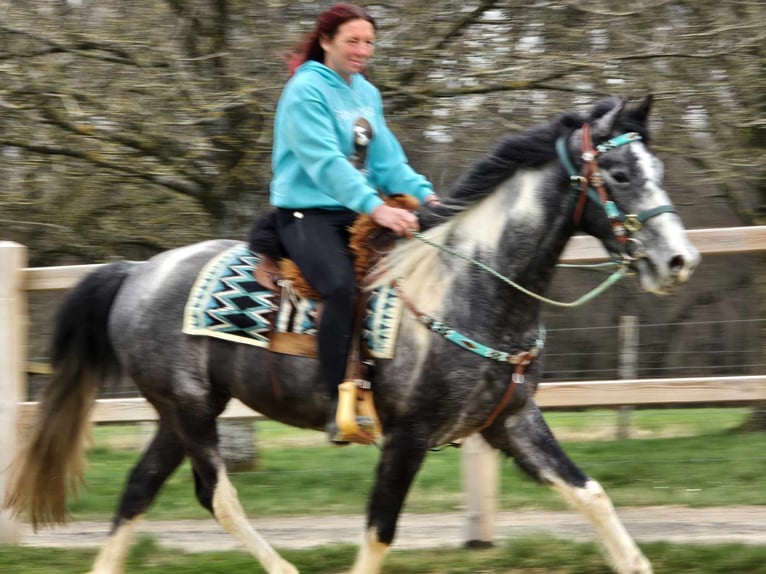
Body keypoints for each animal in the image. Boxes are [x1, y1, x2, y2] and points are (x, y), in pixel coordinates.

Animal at [4, 95, 700, 574]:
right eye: (618, 173)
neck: (470, 284)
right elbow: (379, 531)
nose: (678, 261)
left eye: (657, 167)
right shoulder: (409, 436)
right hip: (190, 411)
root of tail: (136, 273)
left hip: (181, 414)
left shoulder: (513, 423)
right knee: (217, 496)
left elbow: (593, 496)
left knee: (138, 490)